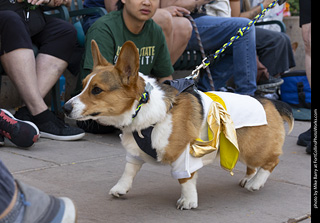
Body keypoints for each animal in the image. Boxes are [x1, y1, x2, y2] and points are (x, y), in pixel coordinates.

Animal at [64, 39, 296, 209]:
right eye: (83, 86)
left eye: (96, 90)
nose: (65, 108)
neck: (143, 109)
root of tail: (271, 102)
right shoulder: (134, 153)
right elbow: (128, 171)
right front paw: (120, 188)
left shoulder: (184, 156)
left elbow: (186, 181)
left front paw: (188, 201)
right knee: (253, 165)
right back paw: (249, 179)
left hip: (255, 148)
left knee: (272, 161)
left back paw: (256, 183)